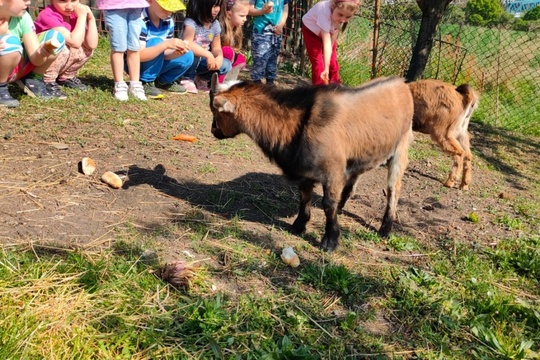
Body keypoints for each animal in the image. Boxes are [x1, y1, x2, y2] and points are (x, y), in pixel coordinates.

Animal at [210, 74, 414, 252]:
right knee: (353, 181)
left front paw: (330, 241)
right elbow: (304, 197)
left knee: (393, 189)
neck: (299, 124)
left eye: (216, 113)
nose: (214, 131)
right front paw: (298, 226)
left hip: (400, 149)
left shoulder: (333, 172)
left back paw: (385, 229)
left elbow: (328, 204)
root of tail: (402, 84)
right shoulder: (305, 171)